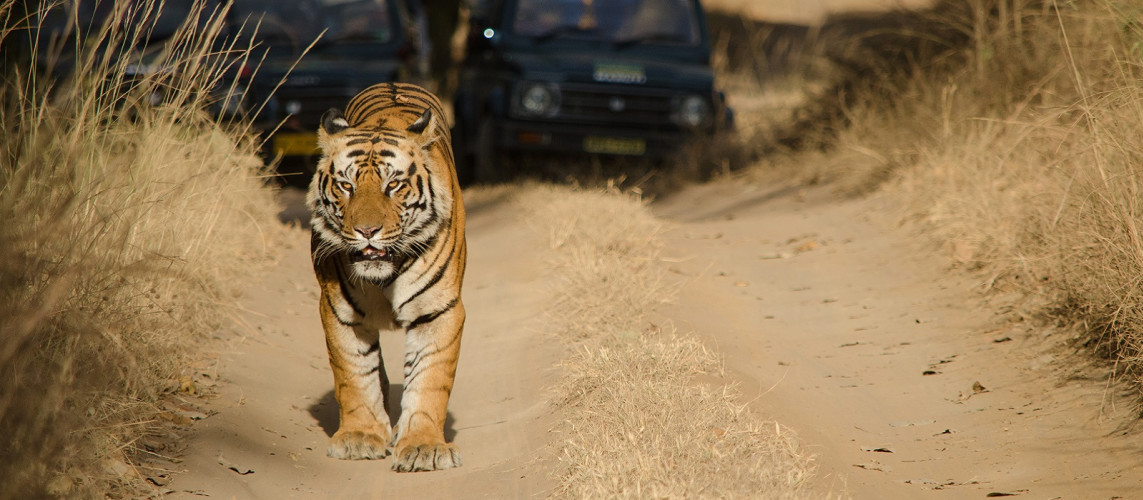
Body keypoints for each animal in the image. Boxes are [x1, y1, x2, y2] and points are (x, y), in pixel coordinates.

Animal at [305, 82, 466, 472]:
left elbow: (429, 378)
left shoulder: (440, 310)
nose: (367, 231)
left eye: (393, 185)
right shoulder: (338, 311)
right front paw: (360, 437)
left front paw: (424, 447)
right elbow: (354, 374)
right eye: (346, 186)